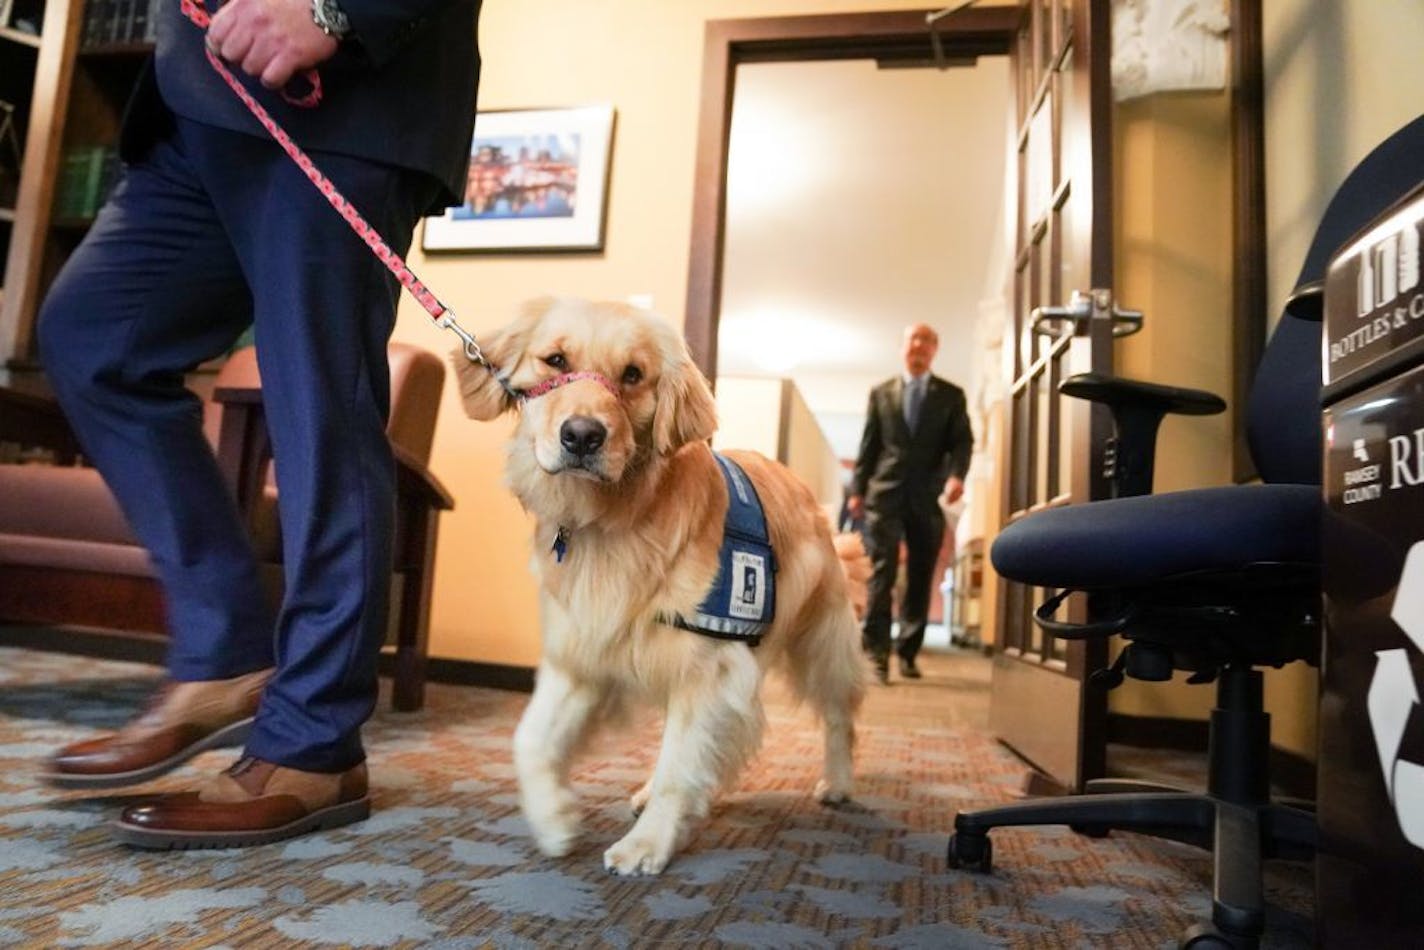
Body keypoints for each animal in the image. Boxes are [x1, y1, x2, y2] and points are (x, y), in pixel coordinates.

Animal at [455, 297, 865, 877]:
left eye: (633, 375)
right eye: (555, 360)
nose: (582, 436)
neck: (614, 520)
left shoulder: (711, 668)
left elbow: (680, 766)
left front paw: (647, 844)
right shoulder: (584, 650)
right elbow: (529, 739)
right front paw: (555, 819)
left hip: (821, 644)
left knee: (837, 718)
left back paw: (839, 782)